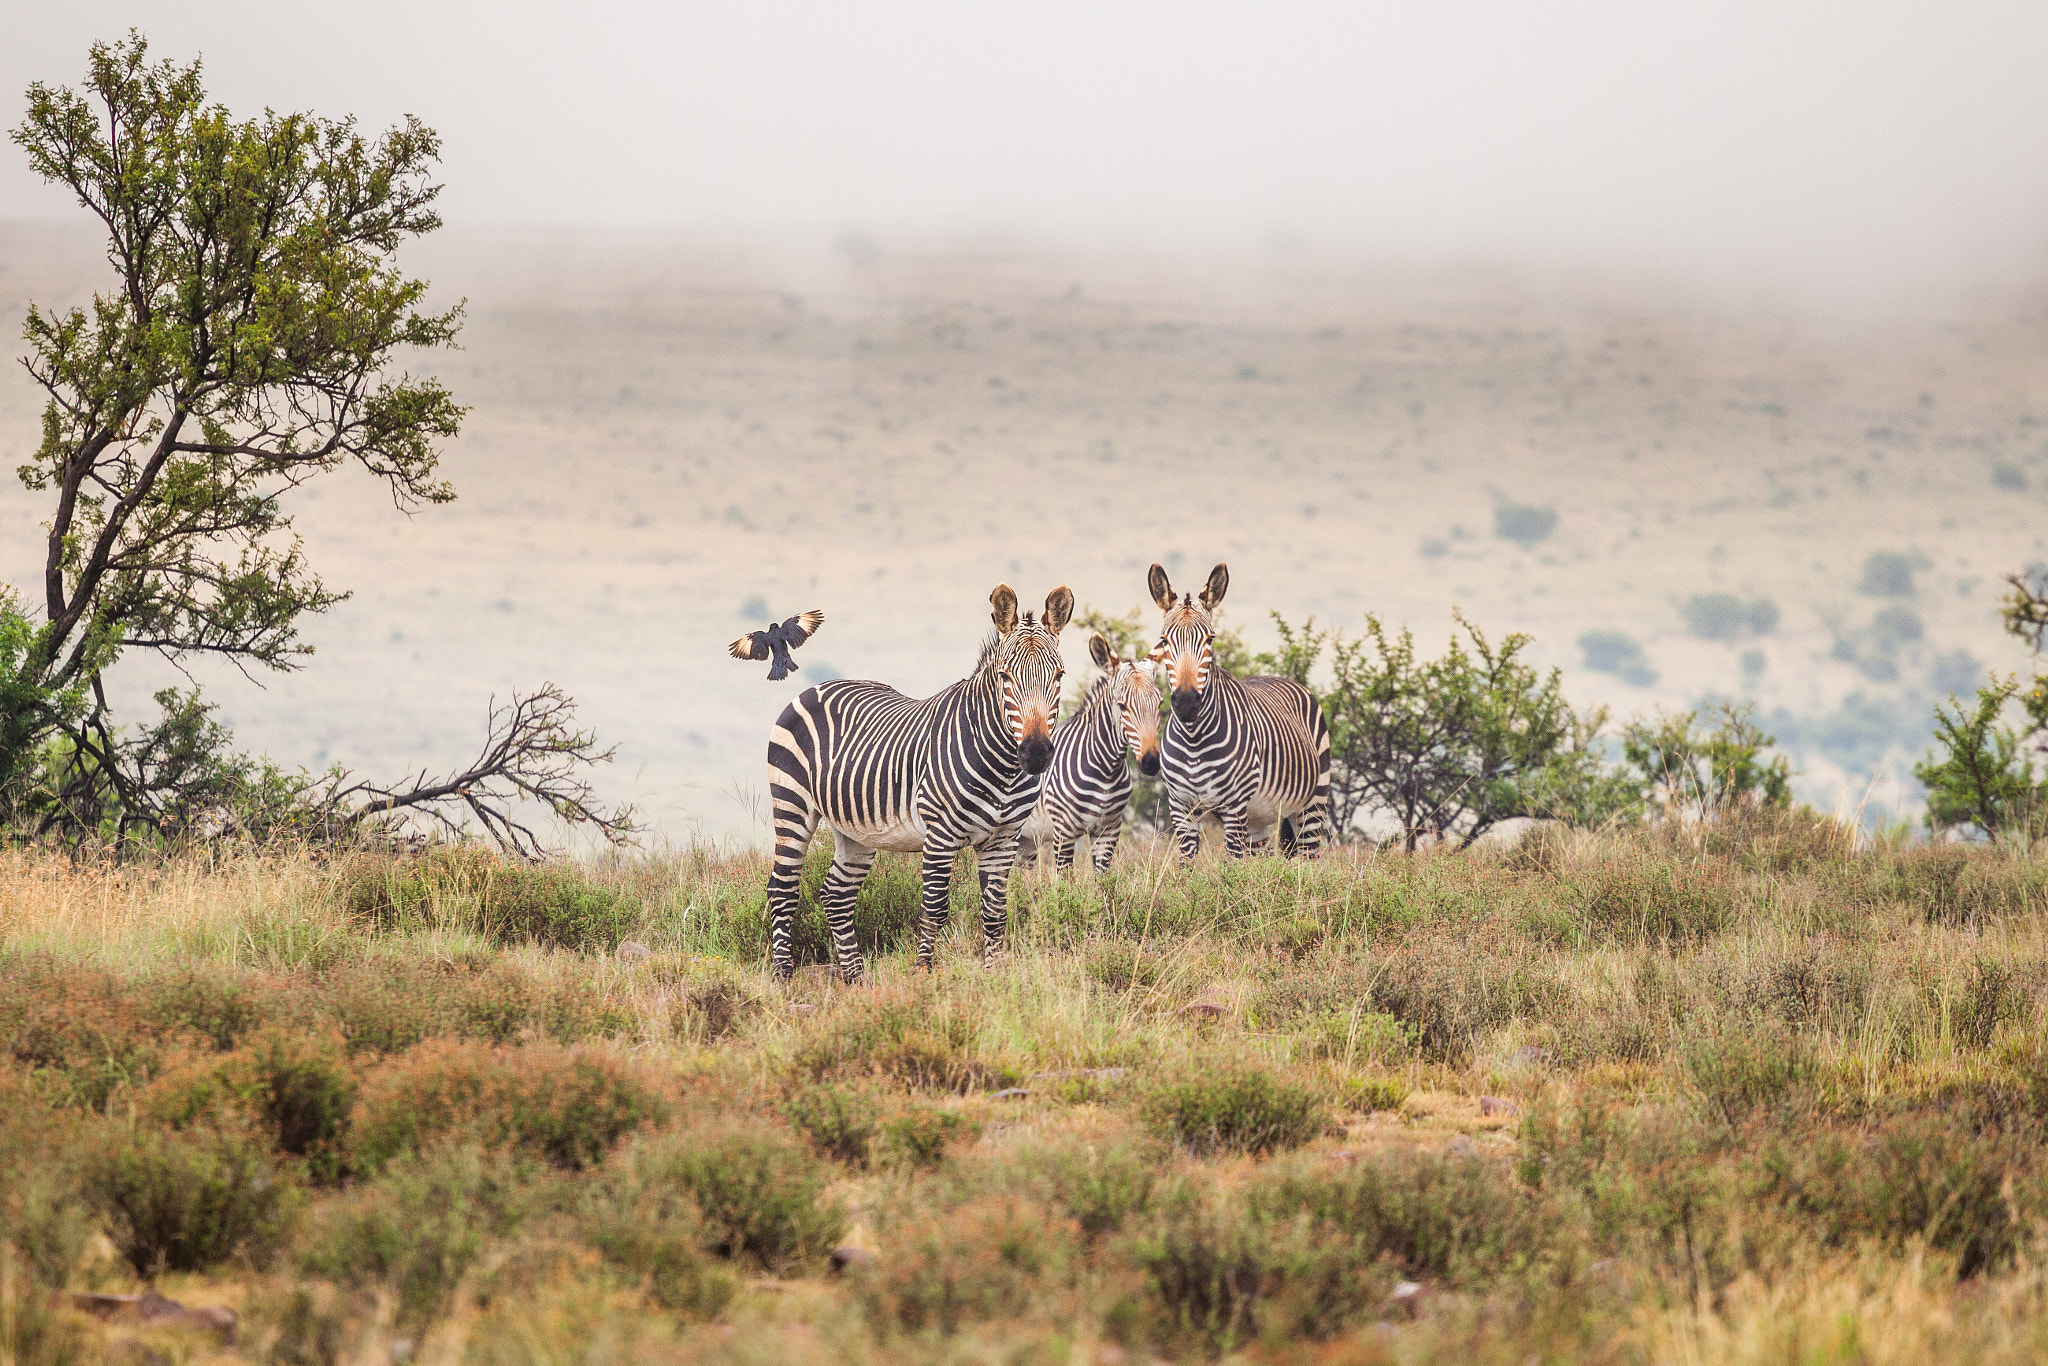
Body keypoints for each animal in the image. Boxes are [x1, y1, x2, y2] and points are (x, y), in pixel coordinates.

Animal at [765, 581, 1081, 978]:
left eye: (1059, 676)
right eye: (1005, 676)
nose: (1036, 753)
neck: (1004, 768)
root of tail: (817, 687)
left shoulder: (1004, 838)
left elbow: (995, 913)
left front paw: (994, 976)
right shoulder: (940, 835)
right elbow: (934, 908)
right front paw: (922, 972)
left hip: (855, 828)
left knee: (836, 894)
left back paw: (857, 978)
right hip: (792, 804)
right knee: (782, 890)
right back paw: (783, 974)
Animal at [1015, 634, 1163, 872]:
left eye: (1159, 703)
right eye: (1122, 706)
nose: (1150, 762)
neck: (1107, 770)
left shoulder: (1108, 830)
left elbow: (1104, 878)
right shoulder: (1064, 831)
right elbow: (1066, 880)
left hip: (1025, 840)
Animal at [1155, 561, 1327, 860]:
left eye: (1210, 640)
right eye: (1164, 641)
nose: (1187, 703)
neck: (1193, 739)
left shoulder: (1233, 807)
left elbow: (1231, 867)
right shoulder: (1180, 806)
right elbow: (1186, 865)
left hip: (1312, 803)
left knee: (1309, 858)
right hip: (1258, 818)